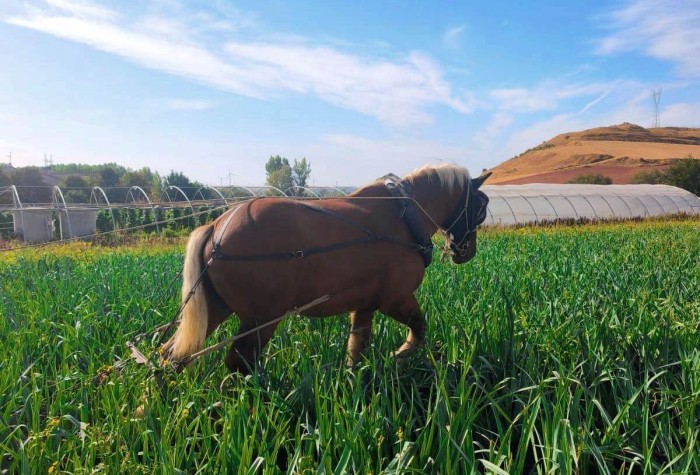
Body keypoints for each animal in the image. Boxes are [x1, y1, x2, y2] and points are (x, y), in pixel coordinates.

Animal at [161, 164, 491, 373]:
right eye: (481, 205)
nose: (466, 252)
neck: (404, 216)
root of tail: (217, 227)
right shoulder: (396, 298)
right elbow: (419, 330)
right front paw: (400, 356)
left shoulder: (366, 305)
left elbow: (356, 349)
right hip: (260, 319)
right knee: (238, 363)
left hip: (215, 308)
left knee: (172, 355)